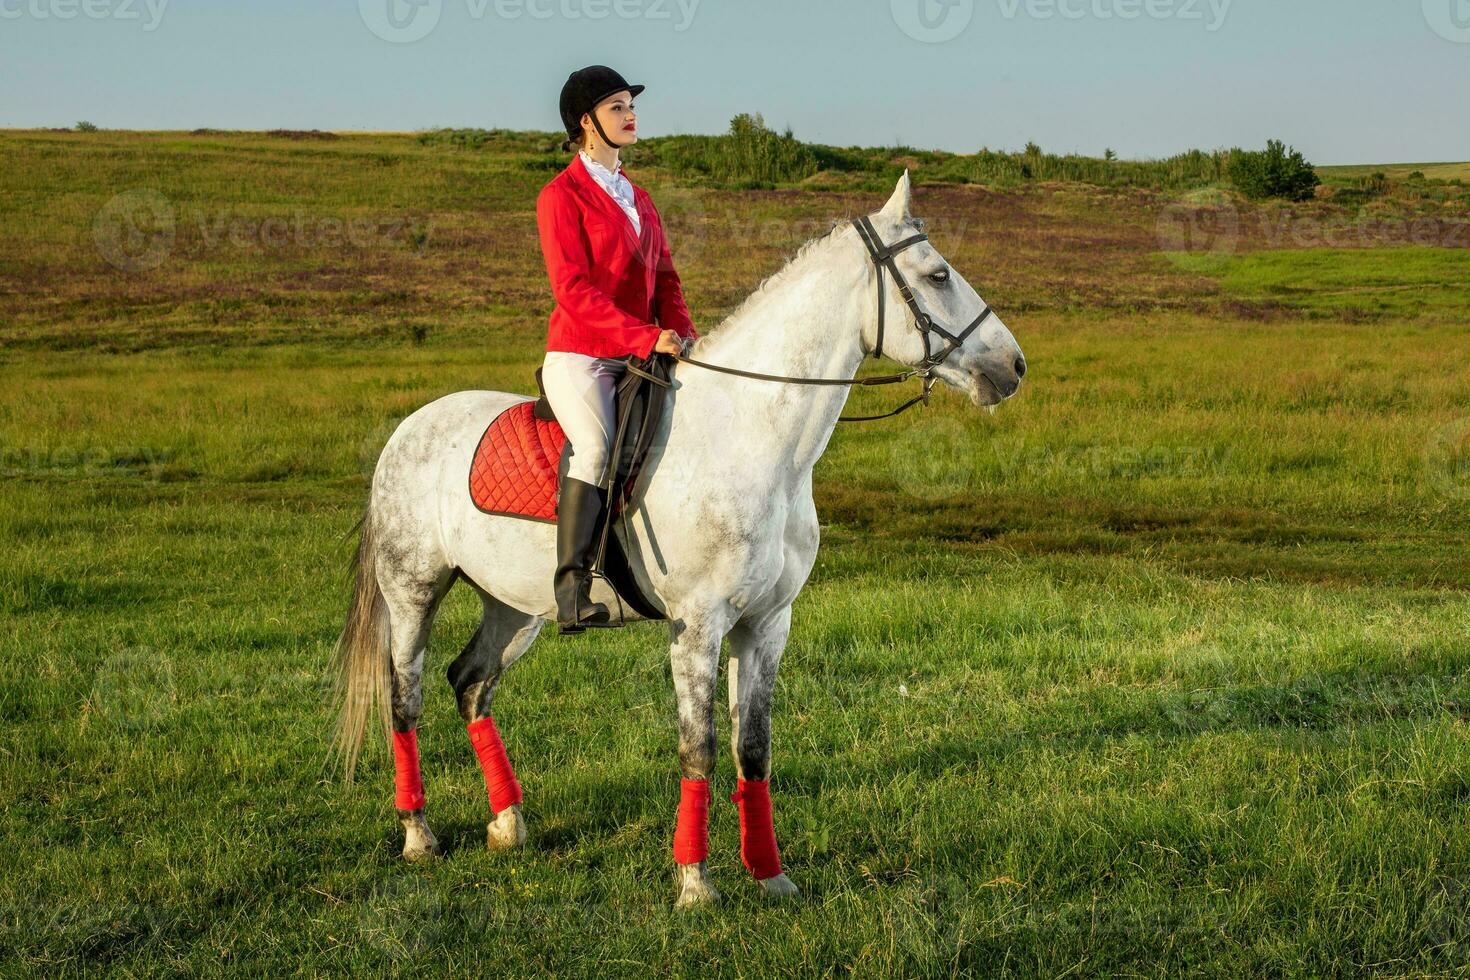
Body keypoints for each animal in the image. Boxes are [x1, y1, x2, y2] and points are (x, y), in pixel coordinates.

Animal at [332, 172, 1023, 910]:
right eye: (938, 274)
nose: (1013, 366)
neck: (753, 438)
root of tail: (410, 426)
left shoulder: (767, 624)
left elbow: (754, 749)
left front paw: (769, 874)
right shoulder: (698, 625)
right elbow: (701, 749)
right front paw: (695, 883)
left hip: (515, 606)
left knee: (471, 683)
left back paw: (508, 823)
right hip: (413, 592)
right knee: (405, 697)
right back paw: (418, 835)